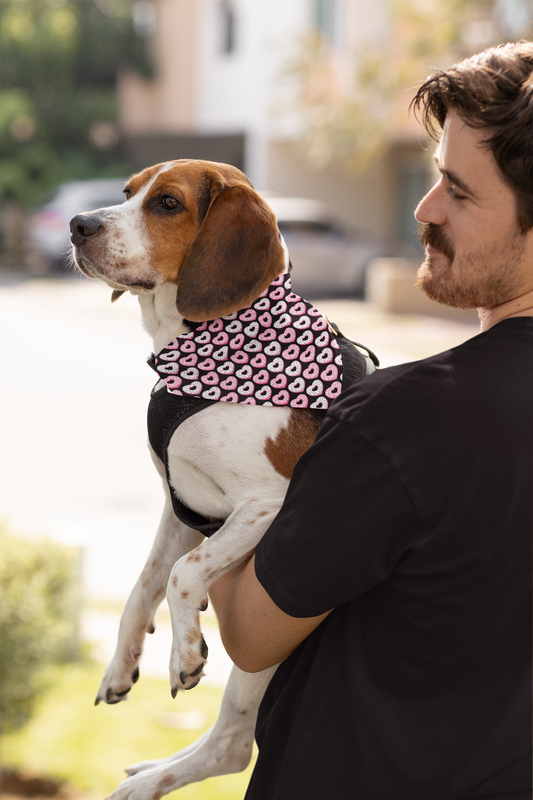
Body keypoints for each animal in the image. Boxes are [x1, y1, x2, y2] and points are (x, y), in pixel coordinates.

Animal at [69, 161, 374, 800]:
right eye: (127, 192)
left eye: (167, 203)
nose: (78, 224)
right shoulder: (181, 506)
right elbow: (145, 583)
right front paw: (122, 663)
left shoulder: (269, 504)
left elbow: (184, 575)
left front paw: (183, 653)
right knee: (229, 743)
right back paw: (148, 773)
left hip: (263, 652)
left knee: (233, 747)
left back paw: (145, 784)